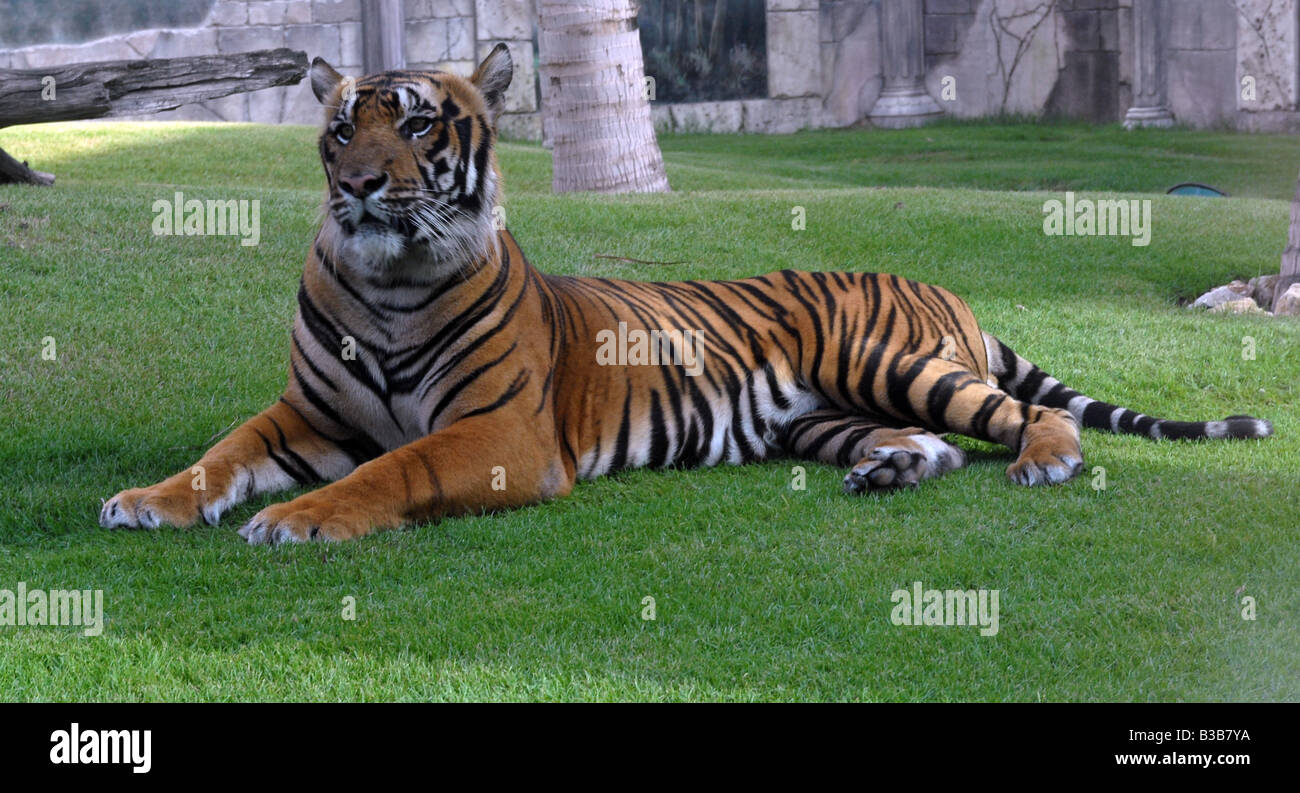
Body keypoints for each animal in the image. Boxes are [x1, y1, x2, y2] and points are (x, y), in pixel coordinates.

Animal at [99, 44, 1274, 545]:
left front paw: (298, 518)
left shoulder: (499, 434)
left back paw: (1046, 461)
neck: (389, 282)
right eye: (343, 127)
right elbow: (221, 453)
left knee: (1017, 414)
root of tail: (945, 289)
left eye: (418, 122)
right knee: (934, 447)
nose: (355, 186)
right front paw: (148, 499)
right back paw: (889, 474)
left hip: (889, 361)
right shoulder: (305, 412)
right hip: (823, 417)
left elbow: (390, 470)